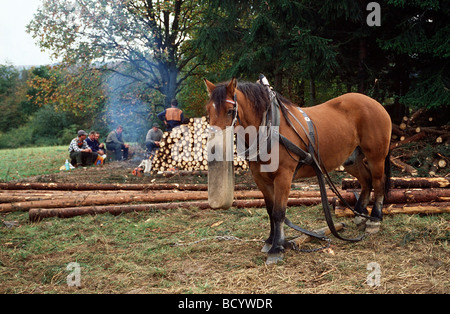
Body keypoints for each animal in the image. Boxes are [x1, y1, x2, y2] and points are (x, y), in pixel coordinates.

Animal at [204, 78, 390, 262]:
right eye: (208, 111)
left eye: (230, 111)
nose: (214, 146)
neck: (270, 127)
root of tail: (376, 104)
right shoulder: (261, 178)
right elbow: (270, 210)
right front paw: (270, 241)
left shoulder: (284, 176)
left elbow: (279, 212)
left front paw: (277, 248)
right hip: (351, 159)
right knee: (366, 181)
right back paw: (360, 215)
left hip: (376, 156)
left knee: (378, 182)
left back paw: (374, 219)